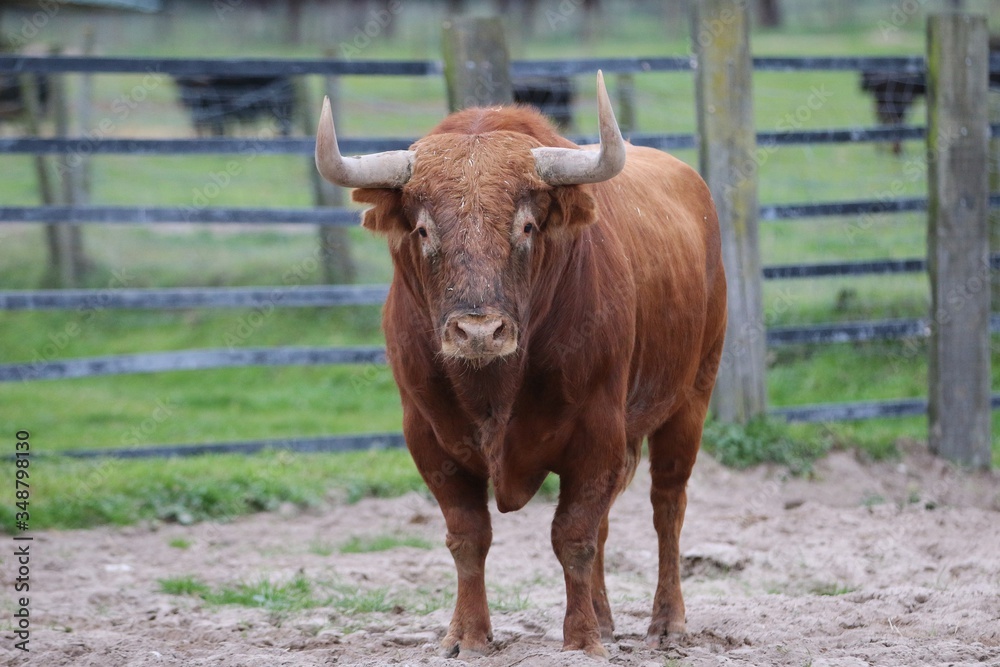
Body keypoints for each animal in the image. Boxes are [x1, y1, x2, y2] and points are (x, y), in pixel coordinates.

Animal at [315, 72, 726, 658]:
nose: (478, 331)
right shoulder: (428, 438)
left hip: (692, 396)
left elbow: (572, 535)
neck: (494, 388)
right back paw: (606, 618)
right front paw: (467, 635)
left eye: (527, 226)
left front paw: (581, 640)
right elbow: (469, 537)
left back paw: (667, 623)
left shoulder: (597, 431)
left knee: (667, 506)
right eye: (424, 230)